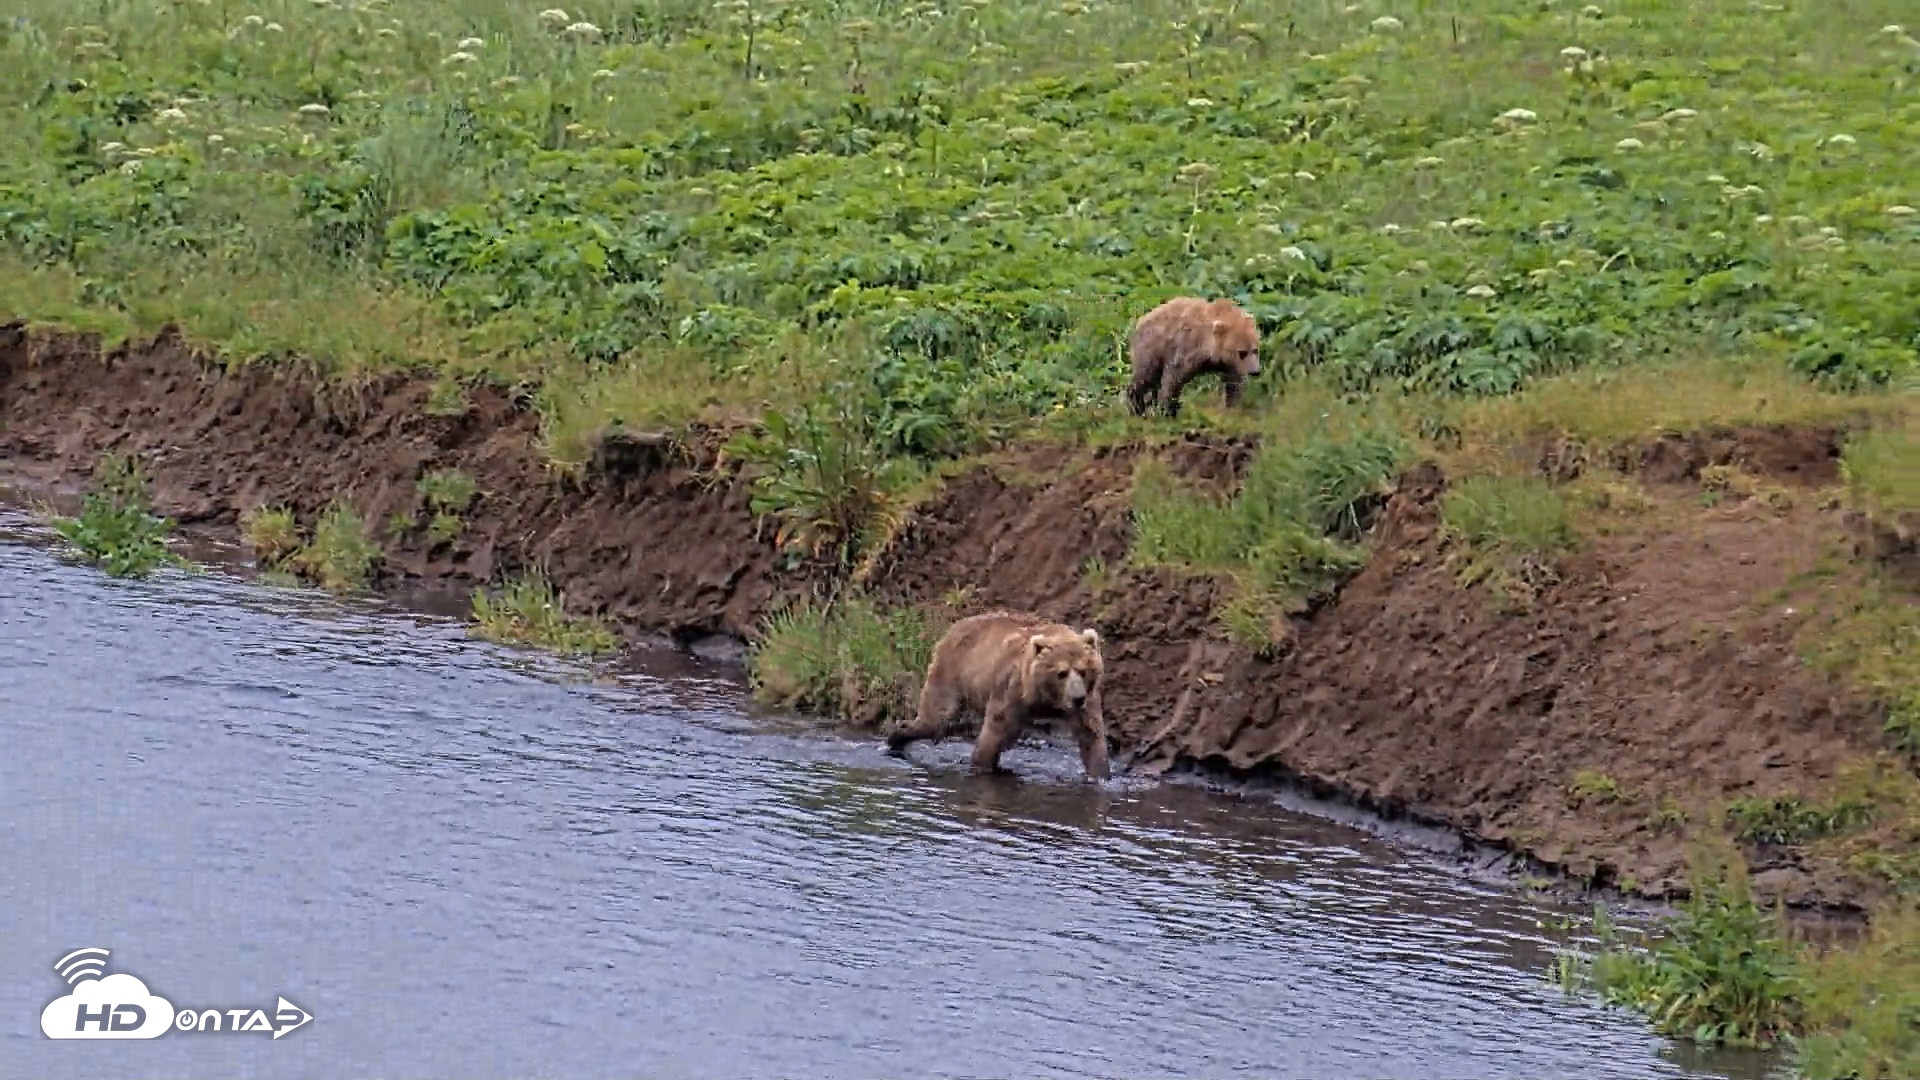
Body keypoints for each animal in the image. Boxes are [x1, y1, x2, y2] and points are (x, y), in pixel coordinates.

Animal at [885, 610, 1110, 781]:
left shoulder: (1088, 699)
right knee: (936, 714)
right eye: (1061, 673)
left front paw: (1099, 775)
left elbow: (1091, 736)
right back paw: (898, 736)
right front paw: (981, 765)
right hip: (952, 668)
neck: (1047, 699)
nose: (1077, 698)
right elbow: (996, 731)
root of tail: (956, 625)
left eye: (1082, 670)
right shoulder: (1011, 689)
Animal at [1124, 296, 1263, 419]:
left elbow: (1234, 383)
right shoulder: (1187, 347)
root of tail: (1141, 319)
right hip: (1151, 347)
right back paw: (1136, 406)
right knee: (1145, 376)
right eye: (1242, 352)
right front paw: (1168, 410)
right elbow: (1173, 378)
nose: (1255, 371)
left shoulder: (1230, 364)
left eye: (1255, 350)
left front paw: (1231, 409)